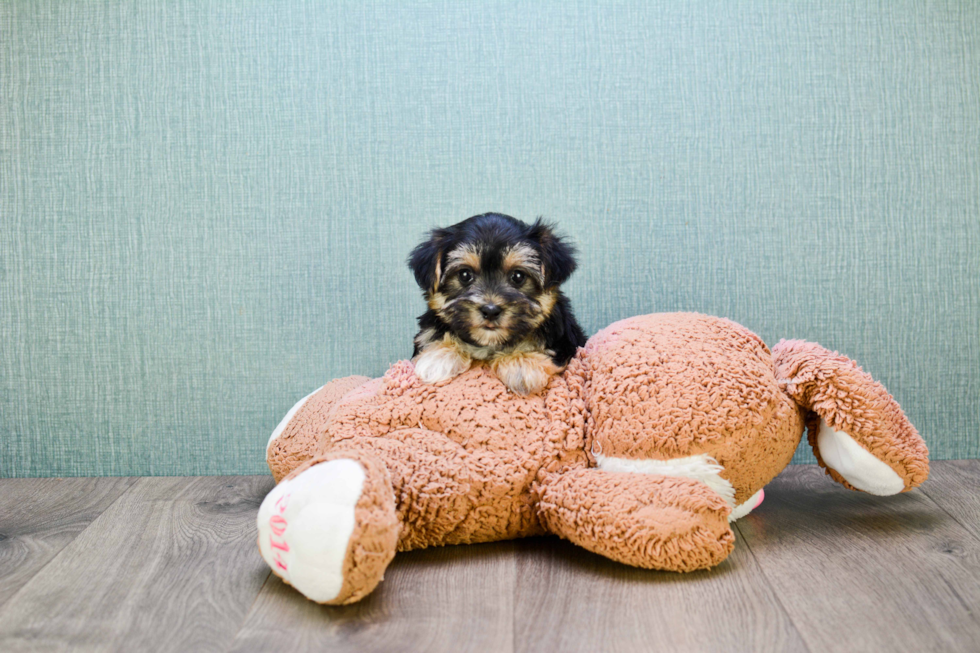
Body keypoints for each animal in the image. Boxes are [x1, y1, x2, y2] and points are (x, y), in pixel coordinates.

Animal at [408, 214, 584, 394]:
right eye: (465, 275)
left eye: (518, 276)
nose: (491, 310)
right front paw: (438, 356)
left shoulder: (564, 342)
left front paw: (521, 363)